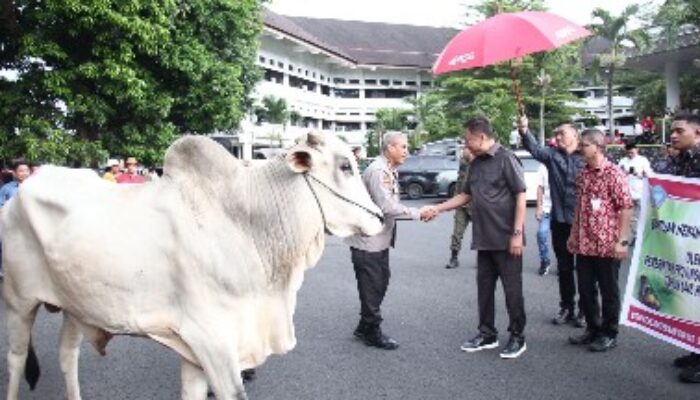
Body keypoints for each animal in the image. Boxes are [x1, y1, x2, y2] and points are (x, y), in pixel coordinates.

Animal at [2, 133, 382, 398]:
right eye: (345, 166)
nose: (379, 217)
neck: (246, 225)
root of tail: (22, 191)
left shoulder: (194, 348)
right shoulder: (212, 340)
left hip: (75, 304)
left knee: (67, 355)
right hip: (20, 302)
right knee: (16, 359)